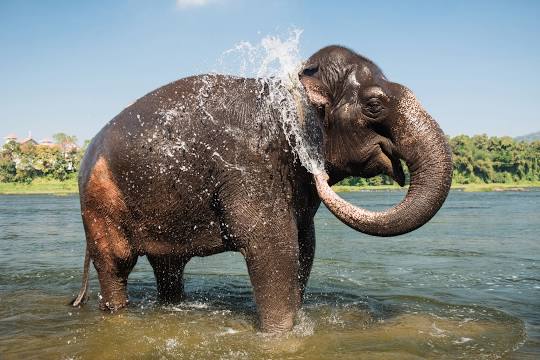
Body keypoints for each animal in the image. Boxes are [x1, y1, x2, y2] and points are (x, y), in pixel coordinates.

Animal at [70, 46, 452, 334]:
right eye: (374, 105)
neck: (293, 94)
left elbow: (305, 244)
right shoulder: (251, 163)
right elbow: (272, 244)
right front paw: (280, 336)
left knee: (169, 266)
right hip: (99, 203)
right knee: (116, 263)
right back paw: (118, 311)